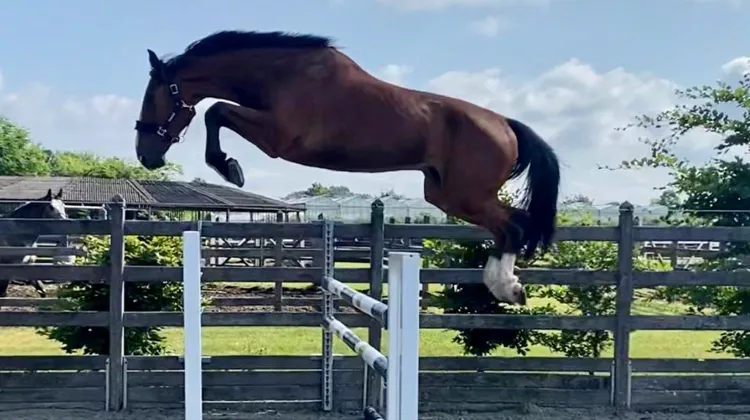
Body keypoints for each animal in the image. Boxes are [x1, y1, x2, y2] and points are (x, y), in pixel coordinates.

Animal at [134, 30, 561, 305]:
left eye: (153, 97)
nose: (145, 156)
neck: (281, 74)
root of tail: (505, 124)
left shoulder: (278, 139)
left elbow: (216, 111)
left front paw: (229, 168)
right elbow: (216, 112)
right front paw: (229, 166)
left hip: (466, 195)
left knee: (513, 226)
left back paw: (507, 288)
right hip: (444, 194)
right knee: (511, 224)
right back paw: (504, 284)